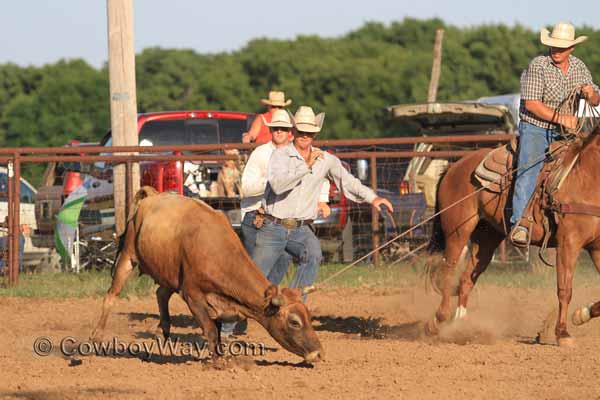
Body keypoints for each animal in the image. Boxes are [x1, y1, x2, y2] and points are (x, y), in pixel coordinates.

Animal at [426, 129, 600, 346]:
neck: (586, 177)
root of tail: (454, 166)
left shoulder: (596, 247)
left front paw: (581, 314)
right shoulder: (568, 244)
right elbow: (565, 290)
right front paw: (563, 334)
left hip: (486, 238)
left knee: (467, 278)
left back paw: (462, 327)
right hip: (457, 231)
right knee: (448, 272)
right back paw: (438, 320)